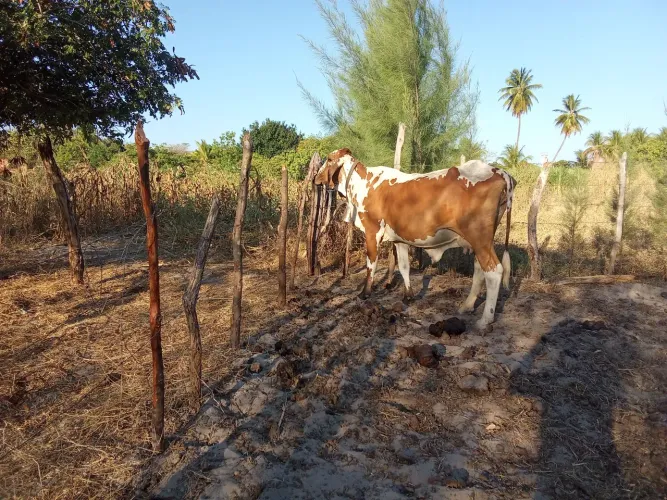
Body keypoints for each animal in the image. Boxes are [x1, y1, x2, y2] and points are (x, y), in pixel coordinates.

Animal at [314, 148, 516, 329]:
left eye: (328, 159)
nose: (316, 177)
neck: (364, 183)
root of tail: (500, 171)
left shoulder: (372, 232)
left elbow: (371, 265)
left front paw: (364, 293)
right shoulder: (399, 240)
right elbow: (404, 267)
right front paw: (408, 295)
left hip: (480, 239)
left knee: (494, 271)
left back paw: (485, 319)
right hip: (479, 243)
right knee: (480, 270)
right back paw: (466, 306)